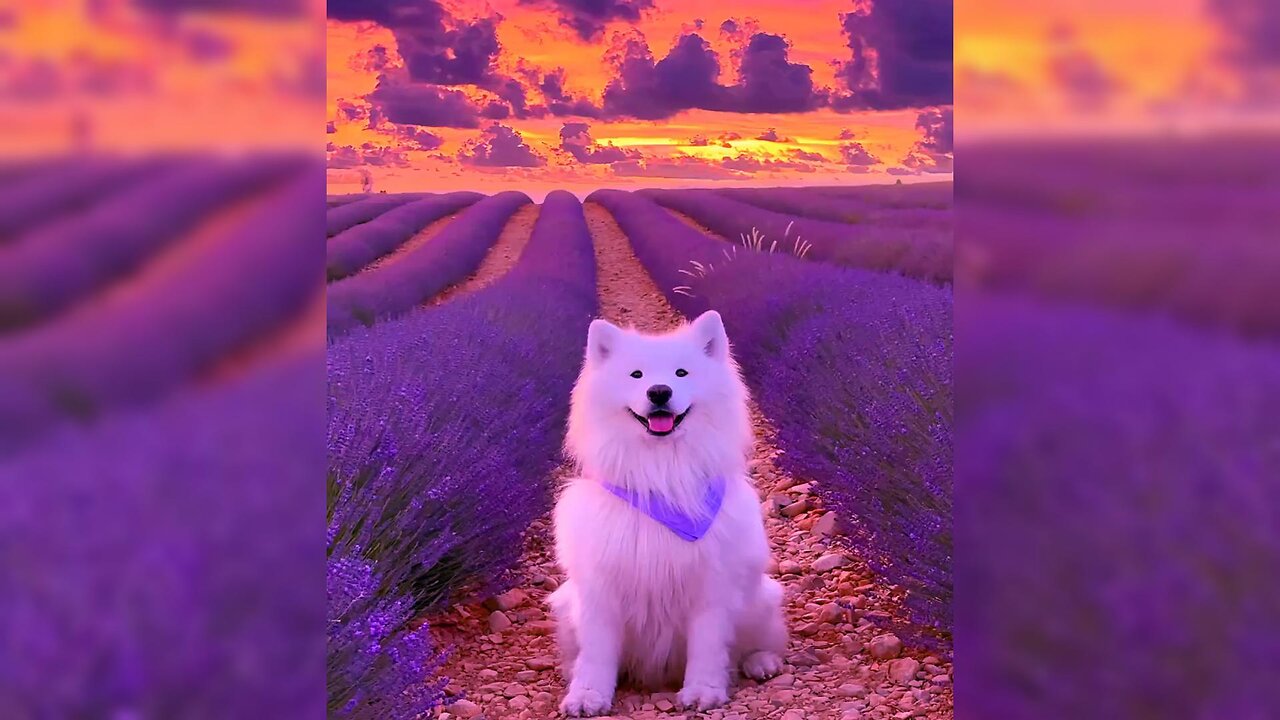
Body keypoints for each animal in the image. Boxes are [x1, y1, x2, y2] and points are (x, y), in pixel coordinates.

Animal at [550, 307, 788, 712]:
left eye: (681, 373)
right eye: (636, 375)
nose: (659, 391)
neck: (663, 479)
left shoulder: (711, 587)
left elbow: (707, 647)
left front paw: (703, 691)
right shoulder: (601, 589)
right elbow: (596, 654)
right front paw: (587, 696)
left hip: (760, 600)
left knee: (758, 642)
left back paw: (761, 662)